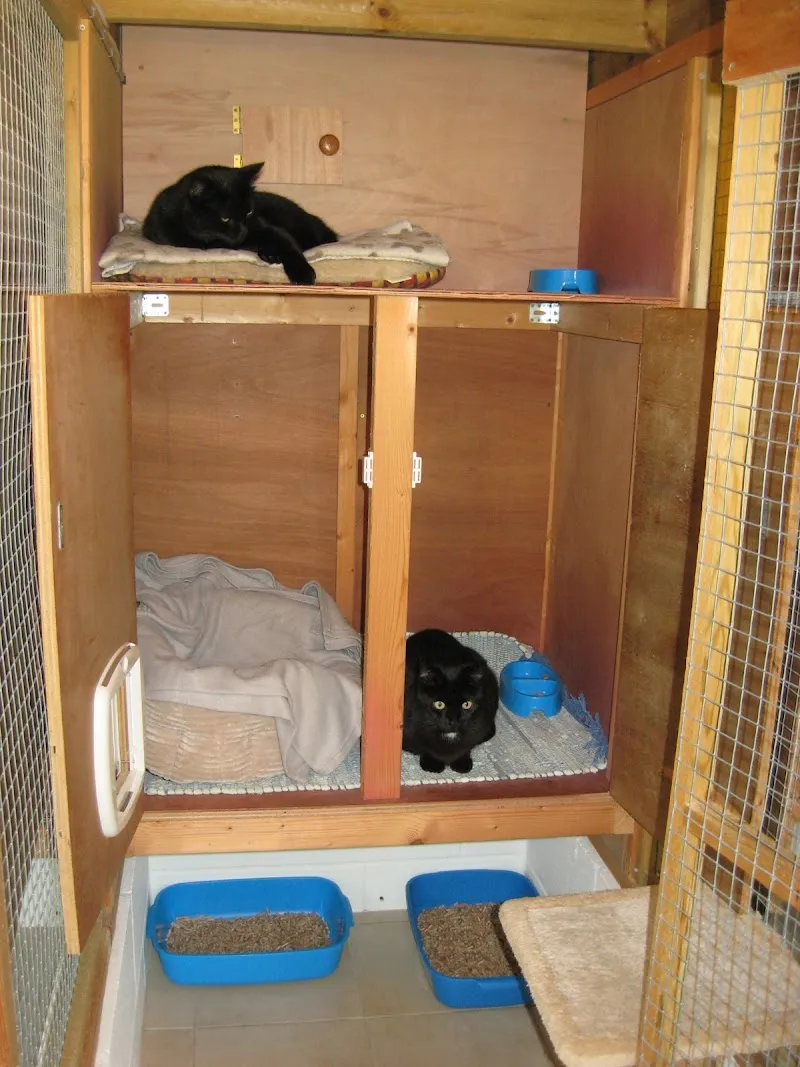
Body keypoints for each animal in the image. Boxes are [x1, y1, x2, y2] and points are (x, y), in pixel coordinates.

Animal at [141, 162, 338, 285]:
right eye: (225, 218)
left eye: (248, 212)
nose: (244, 231)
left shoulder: (266, 227)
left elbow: (287, 243)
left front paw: (303, 272)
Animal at [403, 629, 499, 774]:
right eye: (439, 704)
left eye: (467, 704)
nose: (453, 720)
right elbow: (426, 747)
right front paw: (432, 764)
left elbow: (466, 746)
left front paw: (462, 762)